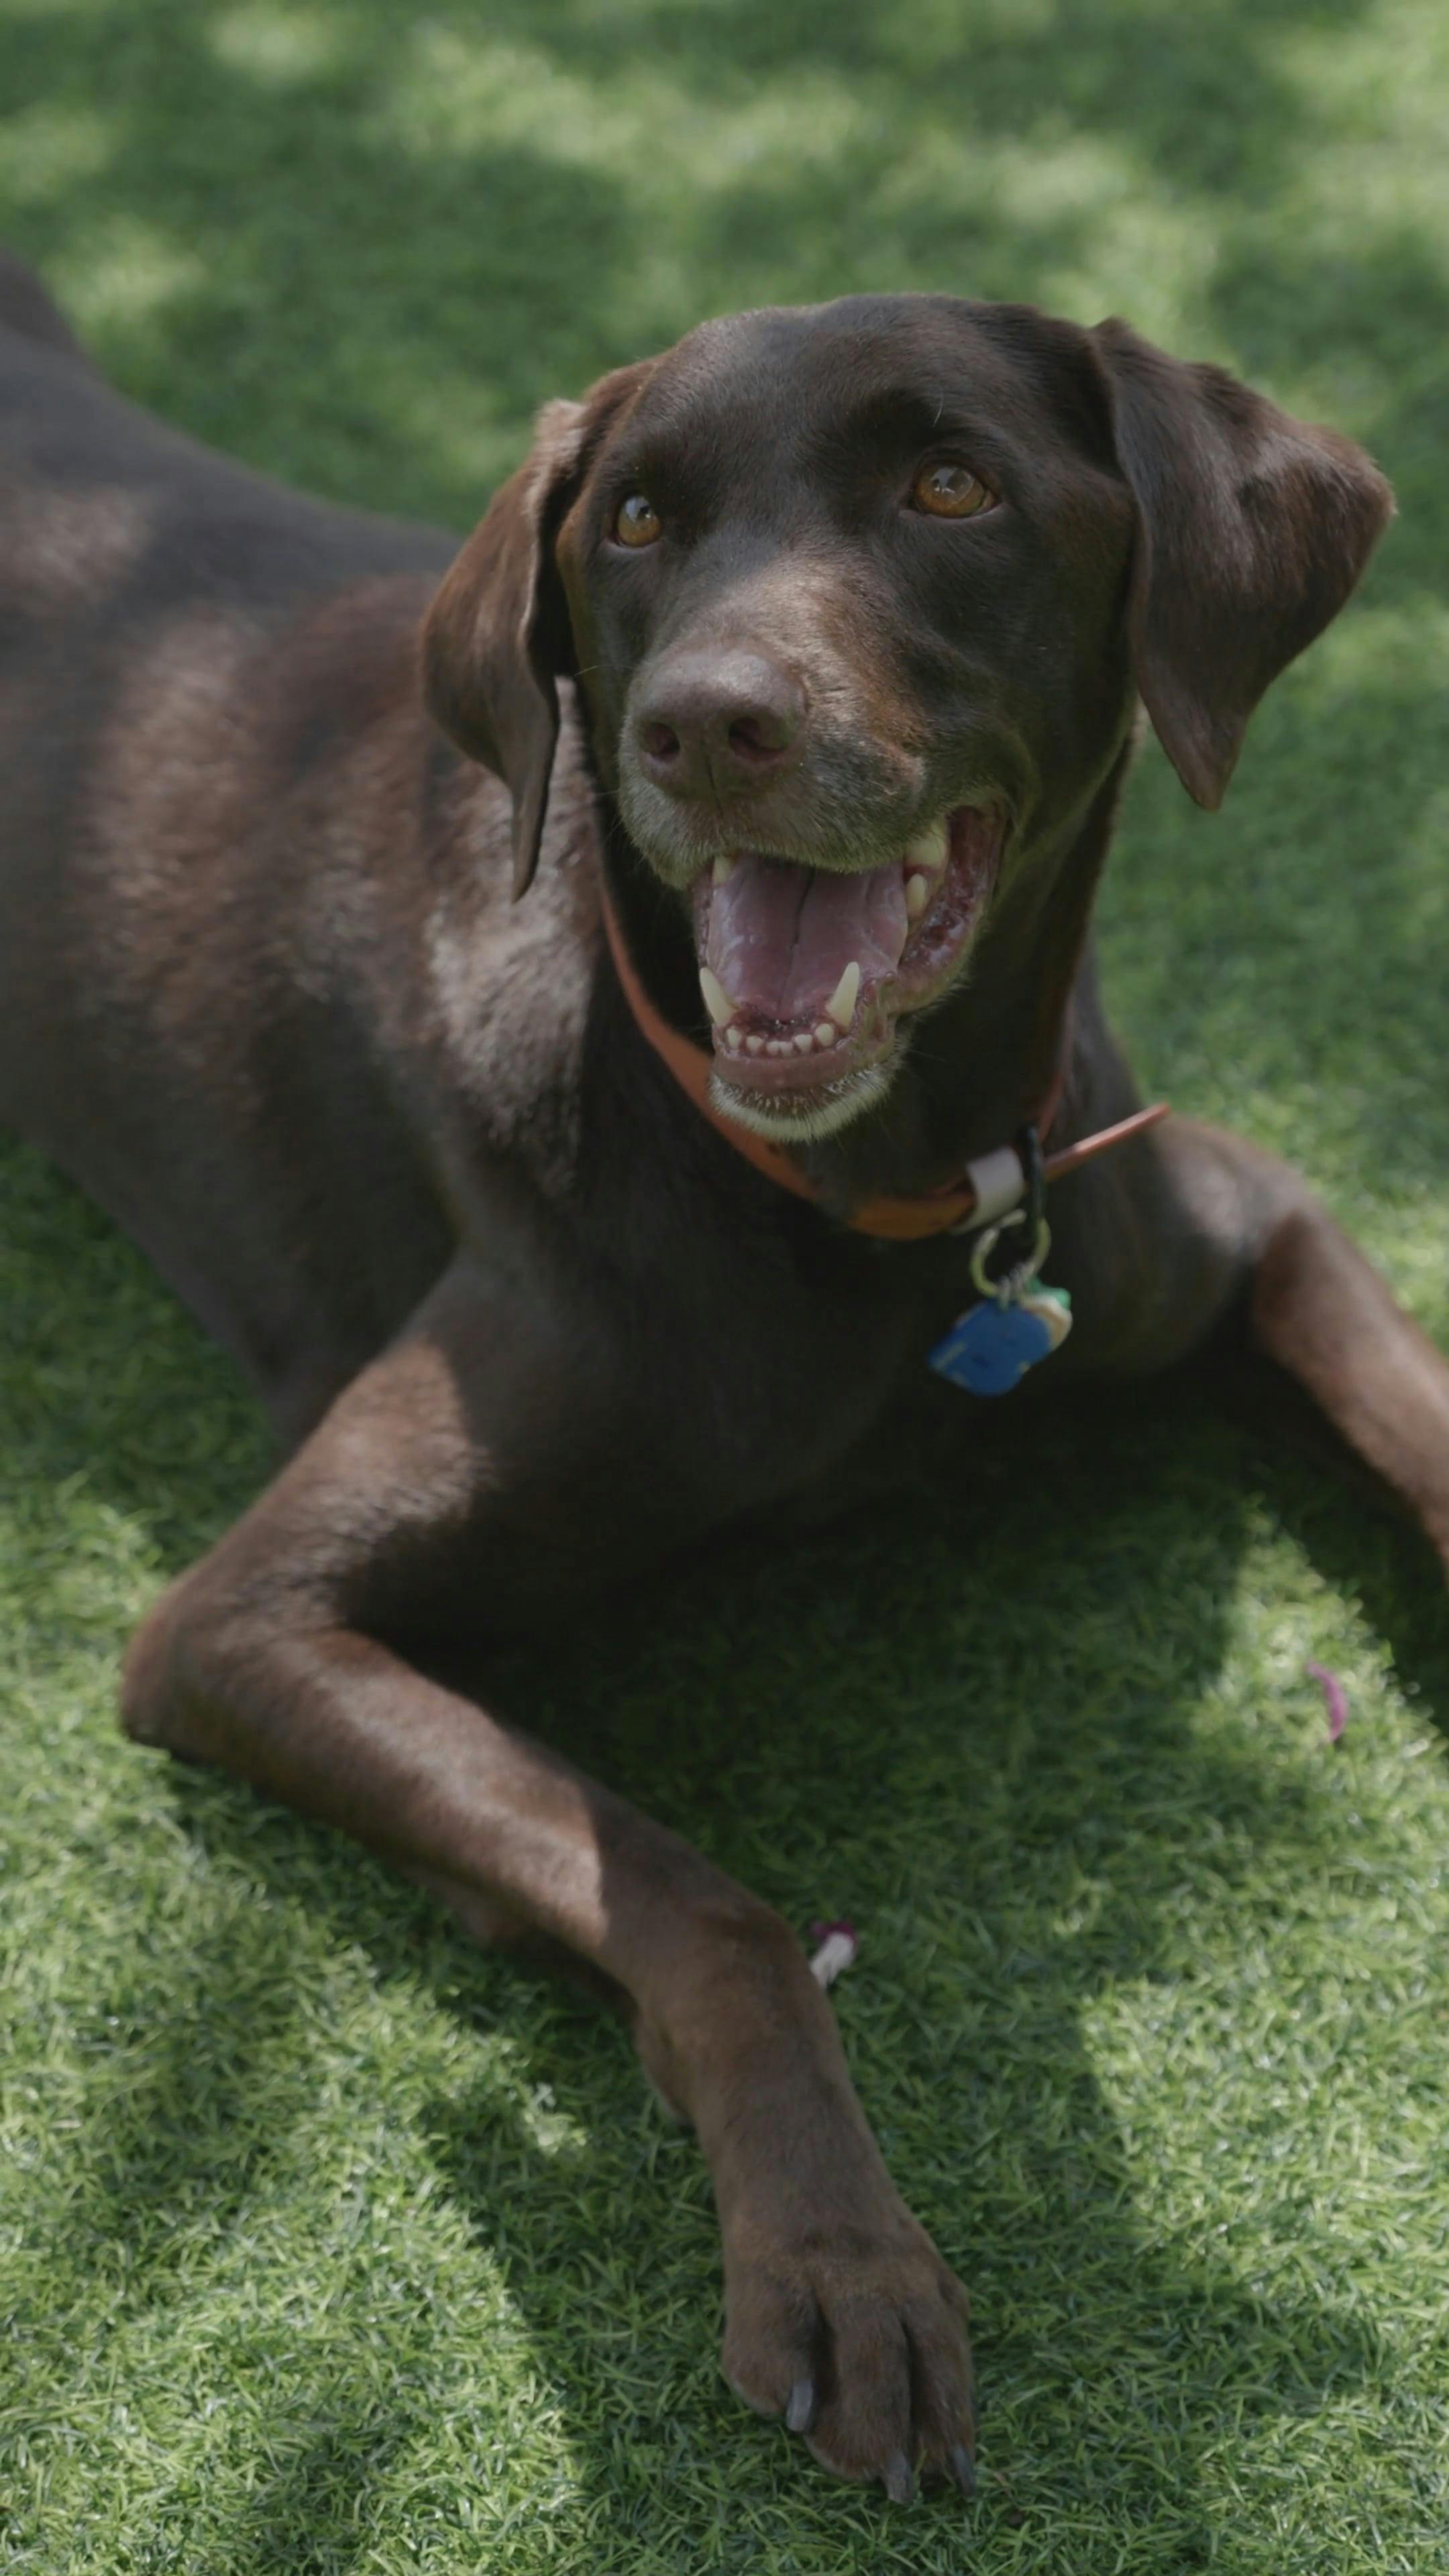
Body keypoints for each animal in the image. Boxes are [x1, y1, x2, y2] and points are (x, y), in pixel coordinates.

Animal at [3, 256, 1444, 2493]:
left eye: (951, 482)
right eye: (634, 523)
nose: (702, 724)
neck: (868, 1196)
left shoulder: (1235, 1210)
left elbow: (1427, 1434)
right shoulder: (240, 1622)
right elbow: (711, 1909)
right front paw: (838, 2253)